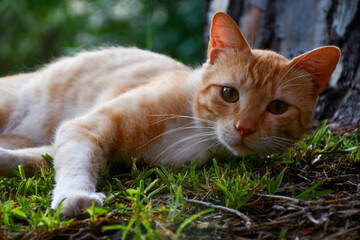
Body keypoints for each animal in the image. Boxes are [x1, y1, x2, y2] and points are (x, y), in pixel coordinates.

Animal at [0, 12, 340, 217]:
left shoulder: (62, 142)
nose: (244, 128)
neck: (193, 131)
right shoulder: (86, 127)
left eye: (277, 107)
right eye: (229, 93)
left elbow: (32, 160)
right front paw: (75, 197)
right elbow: (75, 162)